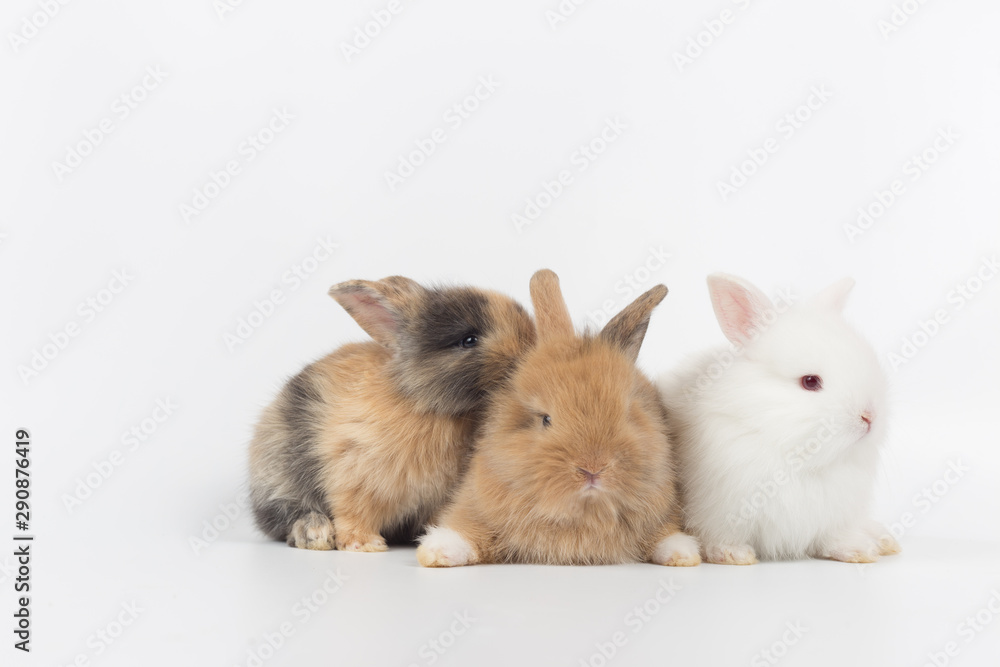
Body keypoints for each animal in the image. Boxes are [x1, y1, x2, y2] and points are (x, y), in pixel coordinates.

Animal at [248, 275, 535, 551]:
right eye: (469, 340)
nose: (526, 354)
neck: (423, 401)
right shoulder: (354, 474)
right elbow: (353, 512)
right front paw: (364, 544)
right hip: (279, 479)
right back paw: (315, 534)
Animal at [416, 269, 701, 567]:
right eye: (546, 419)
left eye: (626, 413)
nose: (593, 469)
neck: (583, 511)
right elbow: (467, 530)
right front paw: (435, 552)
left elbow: (665, 536)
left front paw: (684, 555)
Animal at [657, 273, 900, 565]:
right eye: (810, 381)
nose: (869, 416)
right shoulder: (721, 509)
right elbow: (721, 536)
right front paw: (732, 554)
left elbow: (832, 537)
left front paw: (859, 550)